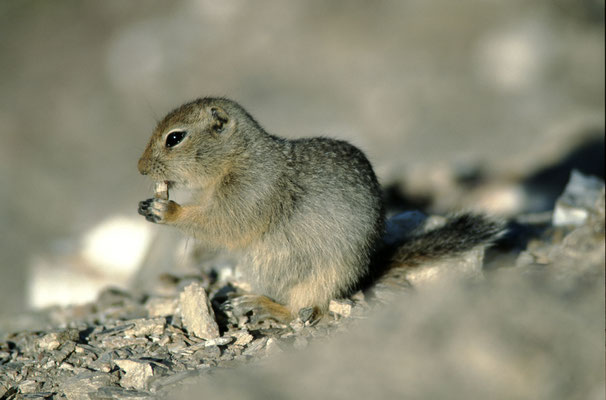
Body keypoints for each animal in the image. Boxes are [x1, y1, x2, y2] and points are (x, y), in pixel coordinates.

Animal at [140, 97, 506, 322]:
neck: (240, 156)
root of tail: (371, 266)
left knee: (303, 309)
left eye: (175, 138)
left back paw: (262, 304)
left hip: (319, 282)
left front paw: (167, 211)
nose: (140, 168)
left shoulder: (250, 189)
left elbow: (224, 223)